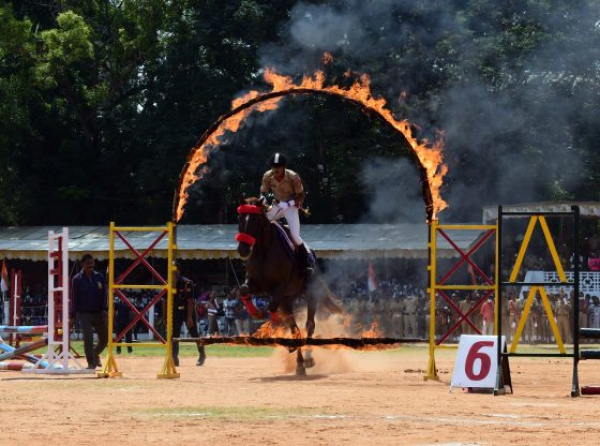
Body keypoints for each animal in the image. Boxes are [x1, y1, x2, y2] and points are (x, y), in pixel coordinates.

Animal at [237, 197, 344, 374]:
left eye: (255, 220)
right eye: (239, 219)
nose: (243, 250)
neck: (264, 249)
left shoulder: (280, 287)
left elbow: (272, 306)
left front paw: (273, 324)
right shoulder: (256, 284)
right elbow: (243, 289)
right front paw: (256, 313)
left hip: (310, 294)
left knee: (309, 325)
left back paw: (308, 358)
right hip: (287, 300)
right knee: (296, 329)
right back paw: (300, 364)